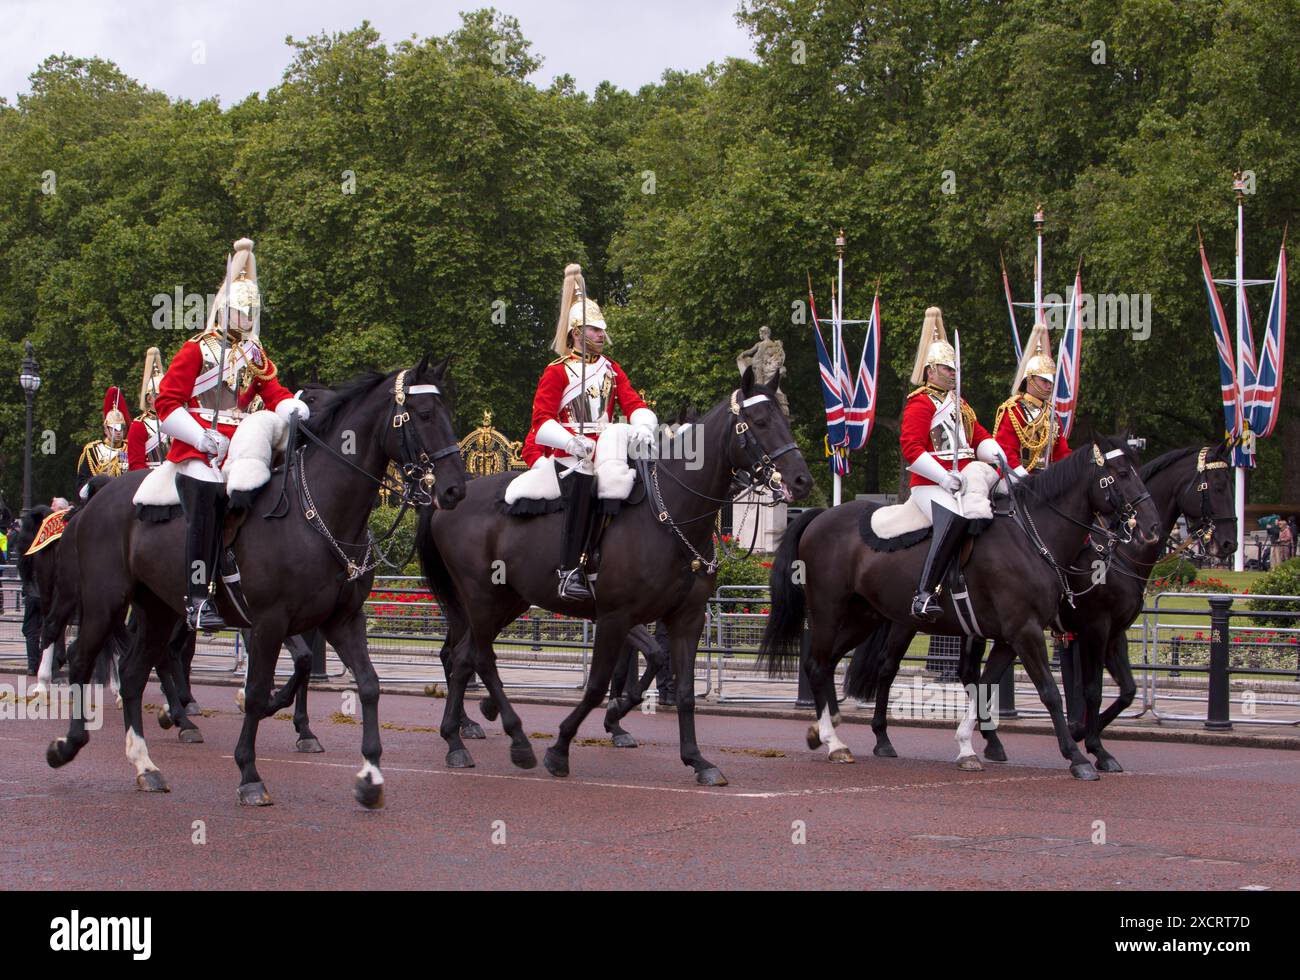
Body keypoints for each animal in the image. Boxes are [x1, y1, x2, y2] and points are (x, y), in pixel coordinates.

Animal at [41, 356, 467, 805]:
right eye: (424, 414)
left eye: (448, 413)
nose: (455, 489)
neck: (316, 512)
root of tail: (95, 500)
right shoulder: (269, 622)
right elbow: (260, 688)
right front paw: (249, 772)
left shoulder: (342, 619)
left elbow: (367, 684)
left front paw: (369, 776)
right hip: (104, 600)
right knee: (82, 655)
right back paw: (66, 739)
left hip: (158, 608)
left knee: (136, 670)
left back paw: (146, 764)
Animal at [423, 369, 811, 785]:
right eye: (759, 422)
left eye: (785, 420)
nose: (801, 479)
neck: (670, 513)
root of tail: (449, 498)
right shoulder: (614, 616)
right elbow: (595, 686)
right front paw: (561, 747)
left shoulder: (685, 618)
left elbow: (683, 689)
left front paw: (696, 759)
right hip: (482, 597)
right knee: (478, 657)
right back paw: (513, 740)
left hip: (508, 600)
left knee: (464, 656)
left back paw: (459, 738)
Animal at [759, 434, 1164, 779]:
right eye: (1122, 473)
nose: (1153, 527)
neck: (1032, 538)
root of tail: (821, 514)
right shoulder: (1035, 631)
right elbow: (1051, 691)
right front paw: (1078, 755)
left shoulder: (1013, 637)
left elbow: (985, 686)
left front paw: (968, 747)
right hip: (831, 611)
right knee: (821, 664)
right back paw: (835, 741)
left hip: (867, 616)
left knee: (831, 665)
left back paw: (830, 734)